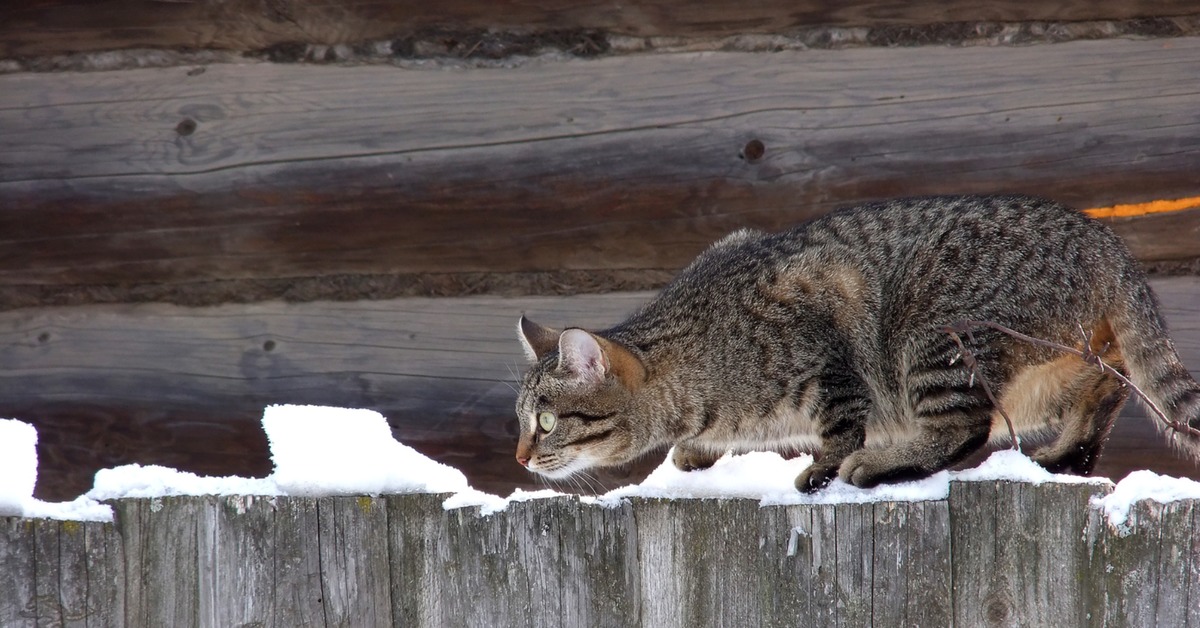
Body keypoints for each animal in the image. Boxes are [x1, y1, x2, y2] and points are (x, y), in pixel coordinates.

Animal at [508, 196, 1200, 492]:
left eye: (546, 422)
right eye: (522, 422)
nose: (519, 456)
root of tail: (1104, 240)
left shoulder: (826, 340)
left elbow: (839, 420)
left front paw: (823, 463)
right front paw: (696, 450)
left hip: (934, 337)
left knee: (963, 430)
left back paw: (880, 463)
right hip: (1073, 365)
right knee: (1100, 402)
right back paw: (1059, 458)